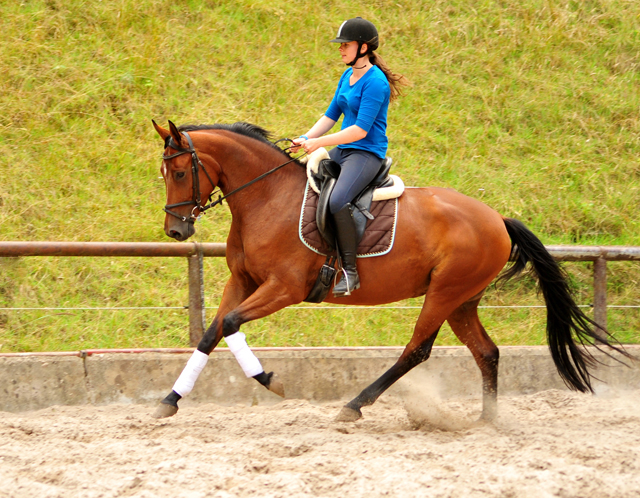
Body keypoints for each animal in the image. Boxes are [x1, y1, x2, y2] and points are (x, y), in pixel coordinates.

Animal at [151, 118, 624, 422]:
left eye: (180, 172)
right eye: (164, 173)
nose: (176, 230)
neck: (266, 198)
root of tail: (497, 220)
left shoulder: (284, 287)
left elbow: (231, 324)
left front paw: (270, 380)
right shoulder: (243, 280)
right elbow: (212, 333)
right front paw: (170, 400)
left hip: (444, 293)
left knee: (417, 349)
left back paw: (354, 406)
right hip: (462, 300)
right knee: (486, 352)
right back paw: (487, 421)